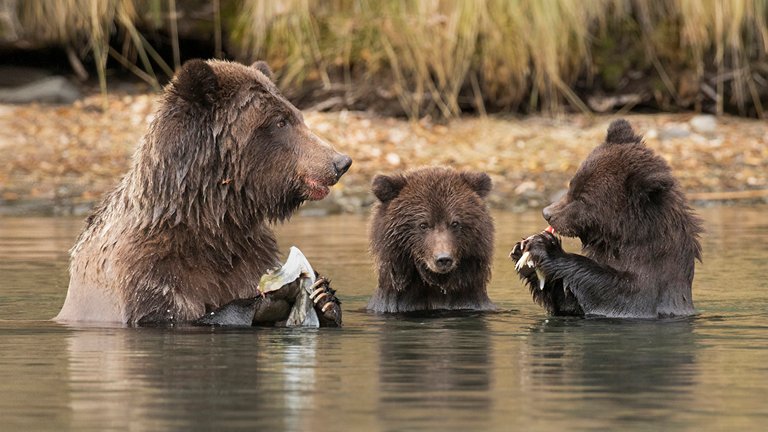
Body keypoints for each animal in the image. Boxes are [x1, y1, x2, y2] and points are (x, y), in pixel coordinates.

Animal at [54, 59, 352, 326]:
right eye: (280, 122)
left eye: (298, 116)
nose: (340, 162)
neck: (210, 220)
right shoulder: (146, 273)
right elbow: (173, 314)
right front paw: (269, 297)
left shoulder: (248, 254)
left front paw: (324, 296)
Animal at [510, 118, 704, 318]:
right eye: (572, 185)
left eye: (583, 198)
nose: (548, 213)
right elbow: (567, 301)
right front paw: (523, 254)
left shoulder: (648, 285)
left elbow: (615, 292)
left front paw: (546, 247)